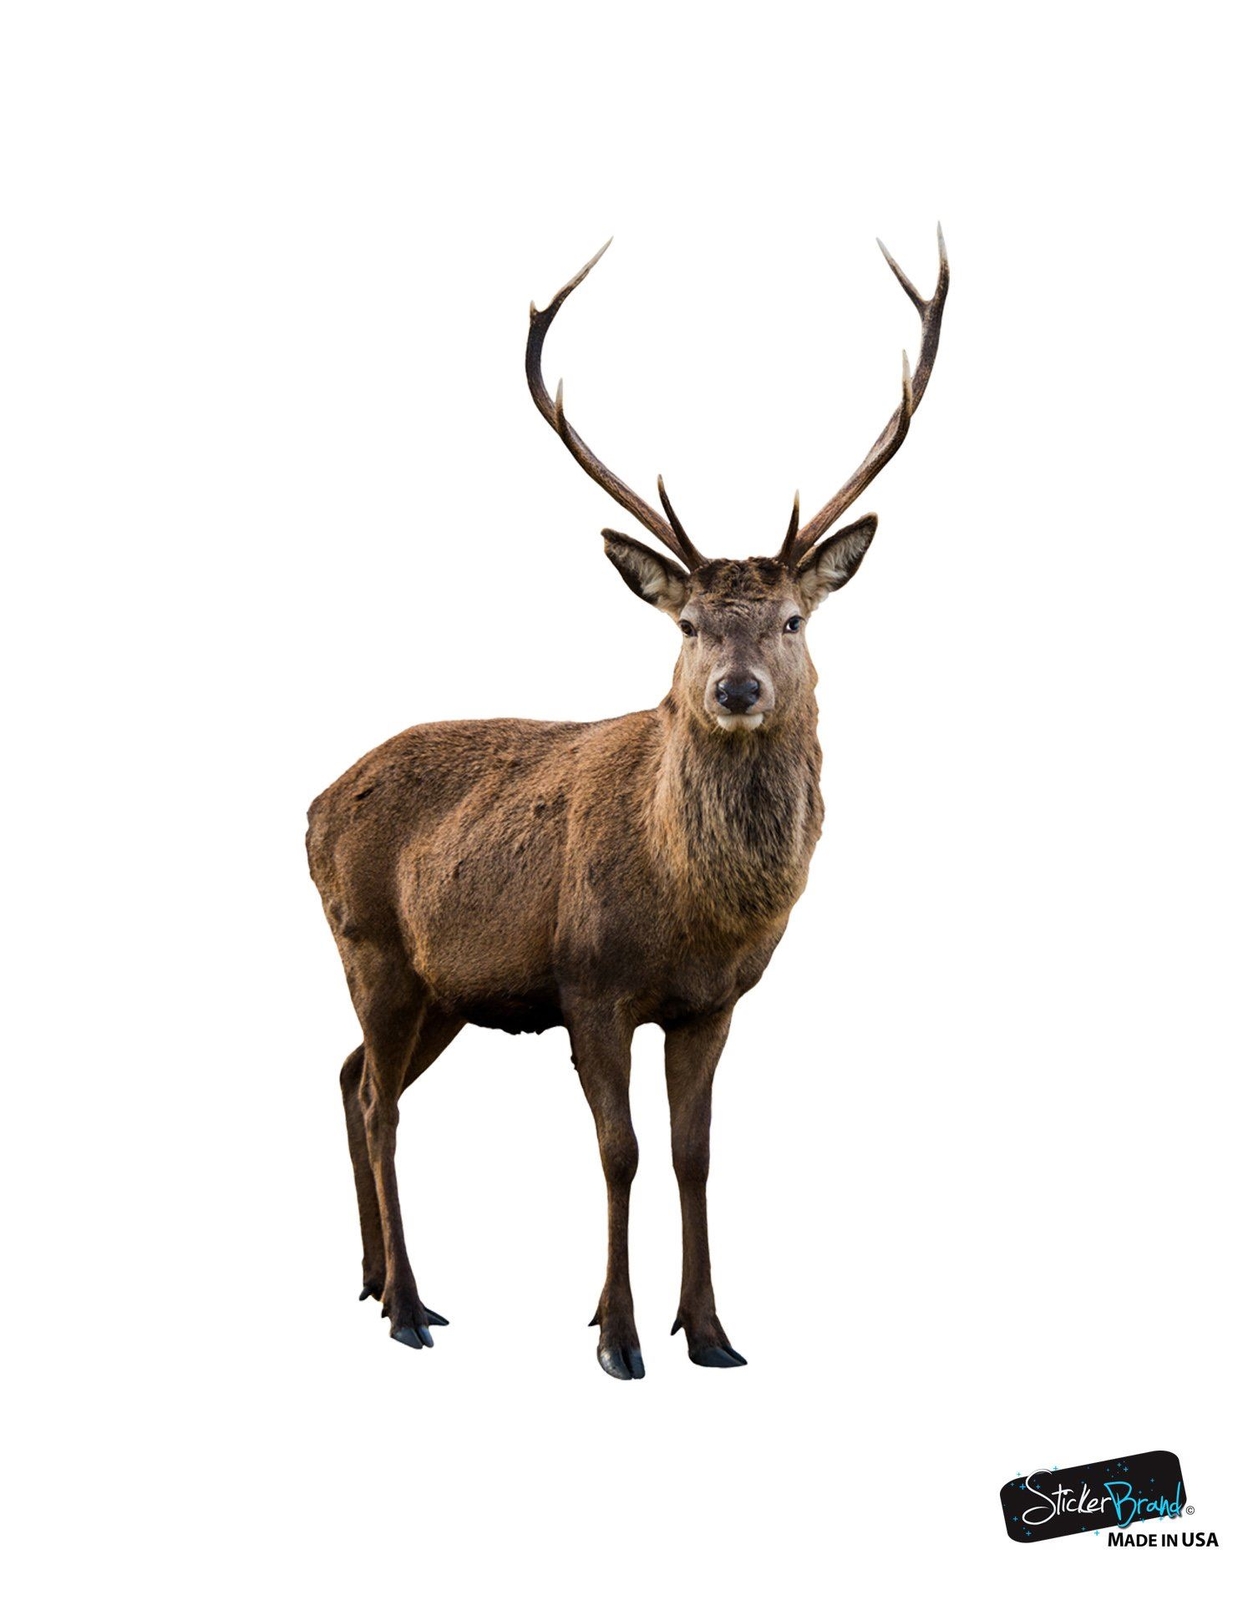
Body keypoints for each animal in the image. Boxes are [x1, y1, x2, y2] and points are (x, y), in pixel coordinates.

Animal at [307, 230, 948, 1379]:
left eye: (791, 619)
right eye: (688, 624)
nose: (735, 690)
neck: (690, 910)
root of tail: (309, 805)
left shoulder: (713, 1003)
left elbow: (694, 1154)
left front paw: (711, 1331)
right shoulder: (587, 982)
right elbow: (620, 1151)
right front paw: (616, 1334)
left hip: (442, 988)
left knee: (348, 1079)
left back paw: (374, 1280)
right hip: (369, 946)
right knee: (378, 1101)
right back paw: (410, 1307)